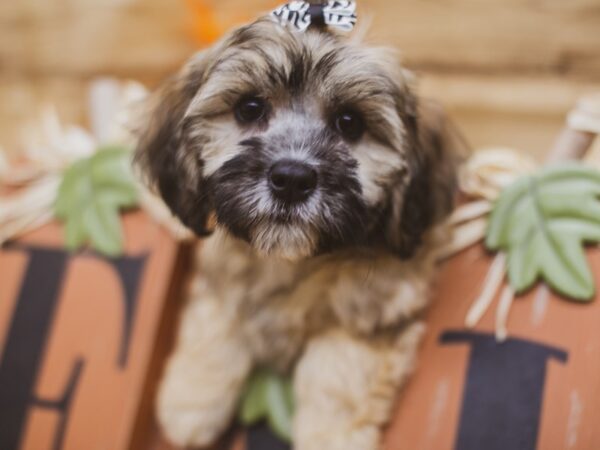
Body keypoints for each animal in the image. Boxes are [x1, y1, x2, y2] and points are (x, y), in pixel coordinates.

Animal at [137, 13, 464, 450]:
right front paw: (190, 401)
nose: (292, 179)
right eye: (249, 108)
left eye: (350, 123)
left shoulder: (373, 308)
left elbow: (334, 374)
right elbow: (215, 321)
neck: (295, 261)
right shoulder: (223, 271)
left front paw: (330, 436)